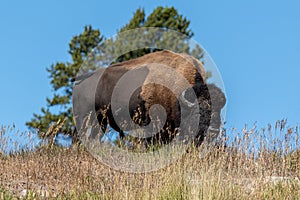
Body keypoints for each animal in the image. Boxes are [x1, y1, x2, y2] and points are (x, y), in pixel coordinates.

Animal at [72, 50, 225, 147]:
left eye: (218, 111)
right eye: (198, 112)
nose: (213, 130)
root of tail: (84, 78)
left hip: (100, 121)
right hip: (83, 117)